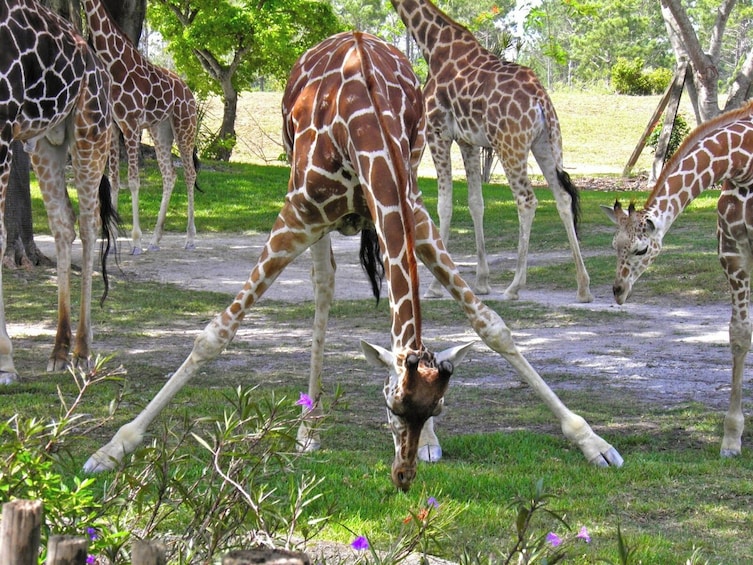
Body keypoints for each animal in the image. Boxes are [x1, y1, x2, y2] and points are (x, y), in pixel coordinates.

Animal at [0, 0, 119, 384]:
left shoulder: (1, 126)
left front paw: (5, 362)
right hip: (43, 142)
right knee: (63, 224)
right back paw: (60, 351)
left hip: (89, 131)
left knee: (88, 223)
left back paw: (81, 351)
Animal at [80, 0, 198, 253]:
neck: (113, 64)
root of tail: (189, 92)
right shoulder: (115, 127)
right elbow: (115, 181)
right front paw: (114, 240)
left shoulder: (132, 125)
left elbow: (133, 181)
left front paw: (135, 241)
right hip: (160, 130)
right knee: (169, 175)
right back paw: (155, 240)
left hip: (185, 126)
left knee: (190, 173)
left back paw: (190, 238)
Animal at [83, 32, 624, 490]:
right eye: (391, 407)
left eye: (437, 410)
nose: (402, 477)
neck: (365, 132)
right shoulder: (298, 214)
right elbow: (215, 333)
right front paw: (112, 449)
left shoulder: (414, 215)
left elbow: (492, 326)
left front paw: (593, 442)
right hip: (310, 209)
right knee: (324, 286)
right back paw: (308, 428)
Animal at [390, 0, 592, 304]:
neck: (433, 45)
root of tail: (540, 101)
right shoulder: (468, 141)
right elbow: (476, 202)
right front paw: (482, 282)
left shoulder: (438, 133)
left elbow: (444, 205)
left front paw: (436, 286)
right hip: (547, 144)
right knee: (563, 198)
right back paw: (583, 287)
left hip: (510, 145)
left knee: (527, 200)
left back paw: (515, 286)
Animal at [604, 97, 753, 458]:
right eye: (614, 245)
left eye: (642, 249)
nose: (618, 290)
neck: (743, 162)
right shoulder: (733, 250)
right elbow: (740, 334)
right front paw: (731, 438)